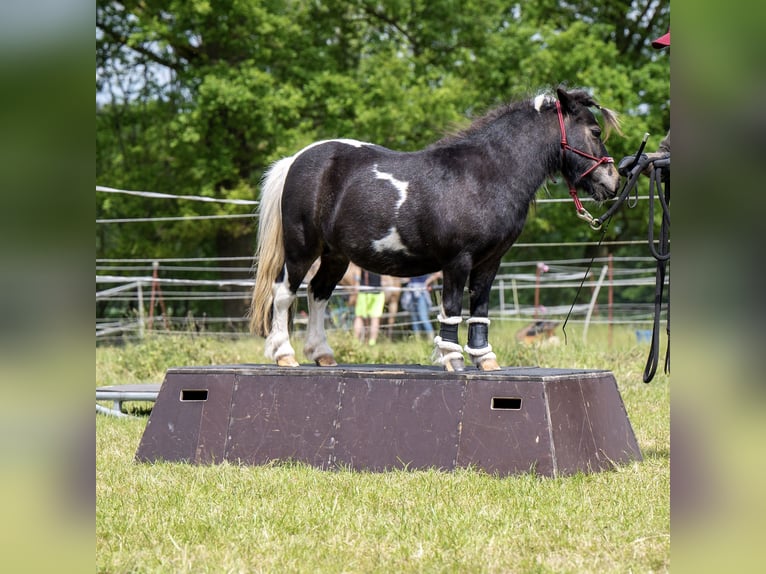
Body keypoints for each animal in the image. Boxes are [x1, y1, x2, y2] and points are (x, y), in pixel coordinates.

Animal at [252, 87, 624, 372]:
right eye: (595, 132)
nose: (613, 181)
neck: (487, 175)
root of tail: (296, 160)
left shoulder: (490, 261)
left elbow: (480, 308)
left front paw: (485, 360)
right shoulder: (457, 261)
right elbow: (452, 308)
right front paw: (452, 359)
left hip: (335, 256)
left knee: (318, 293)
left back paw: (322, 354)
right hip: (302, 248)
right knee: (284, 293)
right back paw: (285, 355)